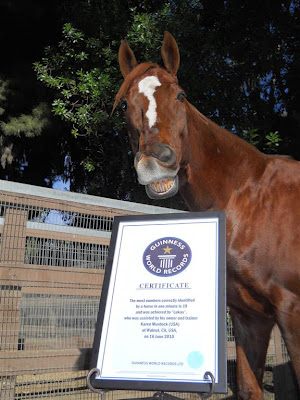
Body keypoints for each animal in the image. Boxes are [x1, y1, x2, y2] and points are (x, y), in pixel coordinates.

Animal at [113, 32, 300, 400]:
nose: (157, 162)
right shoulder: (248, 317)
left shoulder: (293, 313)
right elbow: (247, 387)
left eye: (181, 96)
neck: (250, 199)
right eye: (125, 105)